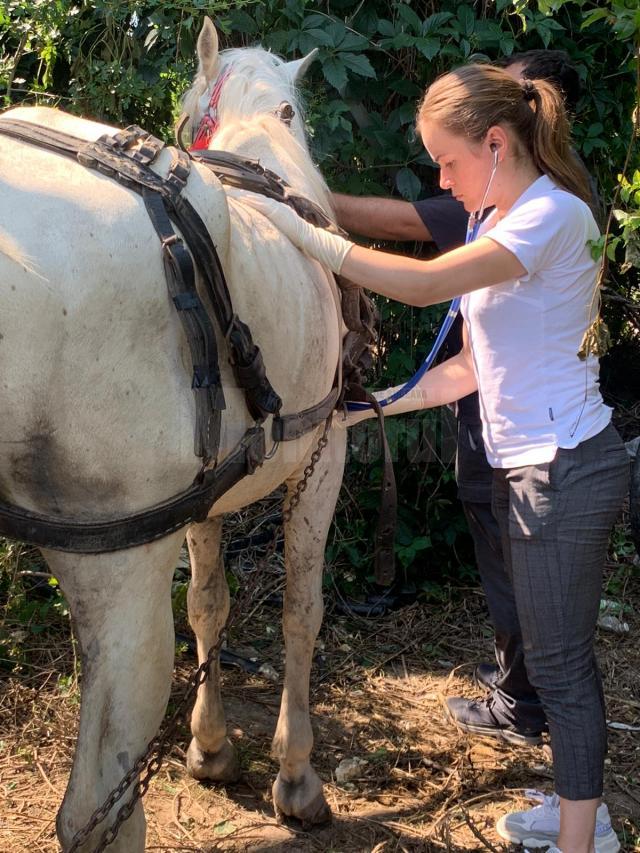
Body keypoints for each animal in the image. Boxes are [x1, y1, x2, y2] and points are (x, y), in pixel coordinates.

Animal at [1, 20, 350, 852]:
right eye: (296, 110)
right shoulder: (325, 454)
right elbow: (302, 607)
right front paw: (296, 774)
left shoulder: (205, 495)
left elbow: (211, 604)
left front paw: (212, 745)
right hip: (121, 572)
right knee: (96, 811)